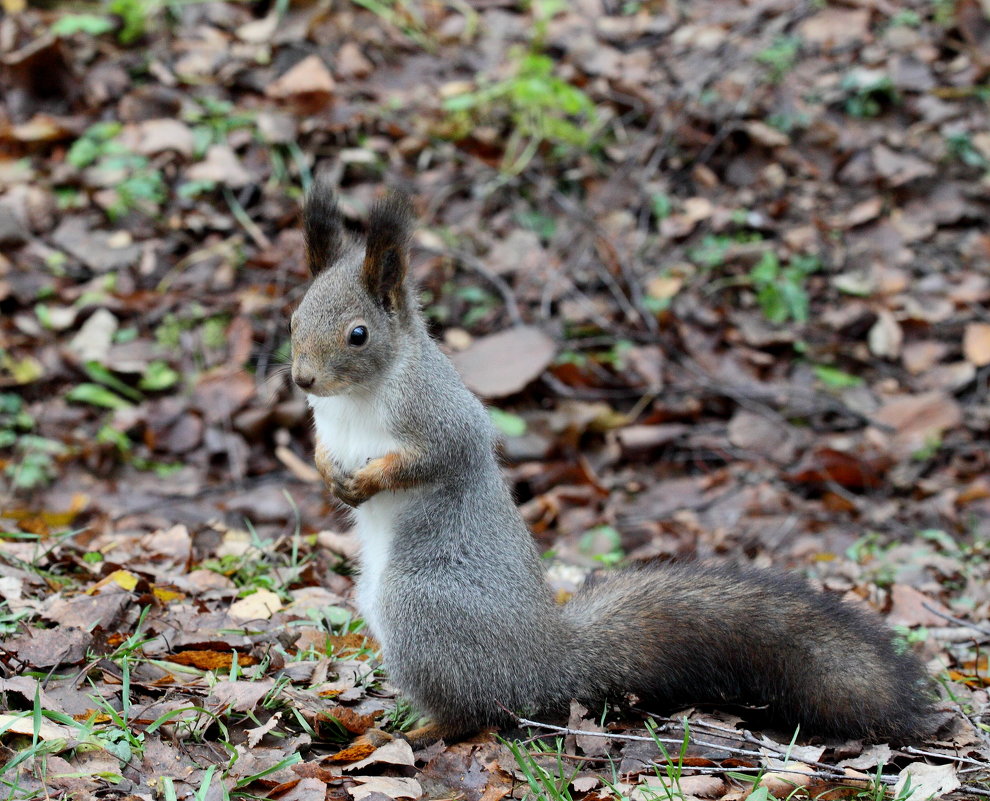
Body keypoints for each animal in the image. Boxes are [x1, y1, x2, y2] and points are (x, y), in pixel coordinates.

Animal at [292, 180, 936, 744]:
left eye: (358, 334)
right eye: (294, 318)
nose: (302, 379)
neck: (356, 397)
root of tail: (543, 663)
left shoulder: (440, 417)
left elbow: (435, 459)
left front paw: (369, 479)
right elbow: (323, 449)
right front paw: (328, 472)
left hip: (423, 606)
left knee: (477, 713)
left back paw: (421, 731)